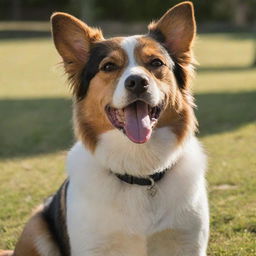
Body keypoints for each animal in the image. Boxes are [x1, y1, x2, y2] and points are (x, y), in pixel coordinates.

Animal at [1, 2, 209, 256]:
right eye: (109, 66)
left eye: (156, 63)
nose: (137, 82)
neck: (140, 170)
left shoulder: (188, 244)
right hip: (35, 226)